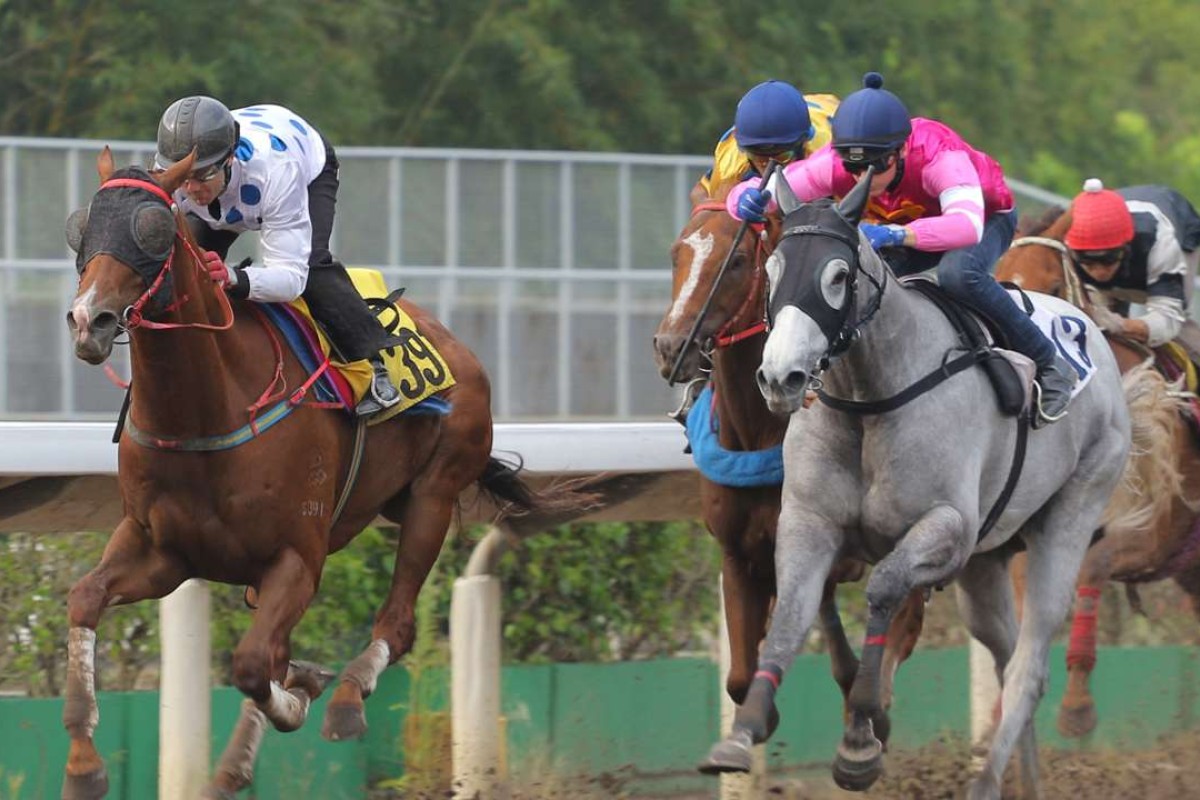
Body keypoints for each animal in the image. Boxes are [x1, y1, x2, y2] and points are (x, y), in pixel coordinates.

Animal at [60, 148, 576, 796]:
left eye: (152, 230)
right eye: (82, 225)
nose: (89, 320)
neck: (209, 407)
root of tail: (455, 344)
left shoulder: (297, 558)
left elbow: (253, 664)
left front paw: (303, 693)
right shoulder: (163, 549)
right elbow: (85, 598)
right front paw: (84, 763)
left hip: (433, 494)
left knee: (396, 623)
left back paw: (346, 701)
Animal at [652, 194, 921, 743]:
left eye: (735, 261)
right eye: (676, 254)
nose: (671, 347)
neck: (762, 432)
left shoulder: (824, 549)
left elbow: (842, 654)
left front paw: (864, 712)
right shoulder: (737, 552)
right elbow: (738, 676)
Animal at [700, 170, 1128, 800]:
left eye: (838, 276)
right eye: (770, 271)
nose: (780, 377)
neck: (870, 397)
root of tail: (1091, 335)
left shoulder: (945, 528)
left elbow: (883, 590)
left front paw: (862, 737)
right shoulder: (806, 521)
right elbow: (791, 616)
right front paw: (744, 730)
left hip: (1072, 513)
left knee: (1029, 667)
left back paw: (984, 782)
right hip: (987, 562)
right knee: (1005, 657)